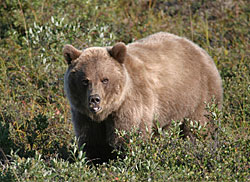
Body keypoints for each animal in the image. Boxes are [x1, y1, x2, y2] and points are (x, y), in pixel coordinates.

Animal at [62, 32, 223, 162]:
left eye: (105, 79)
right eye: (85, 80)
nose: (95, 99)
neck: (108, 111)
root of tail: (200, 49)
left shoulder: (131, 105)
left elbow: (129, 138)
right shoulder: (84, 116)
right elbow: (92, 142)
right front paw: (94, 161)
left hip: (199, 96)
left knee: (199, 127)